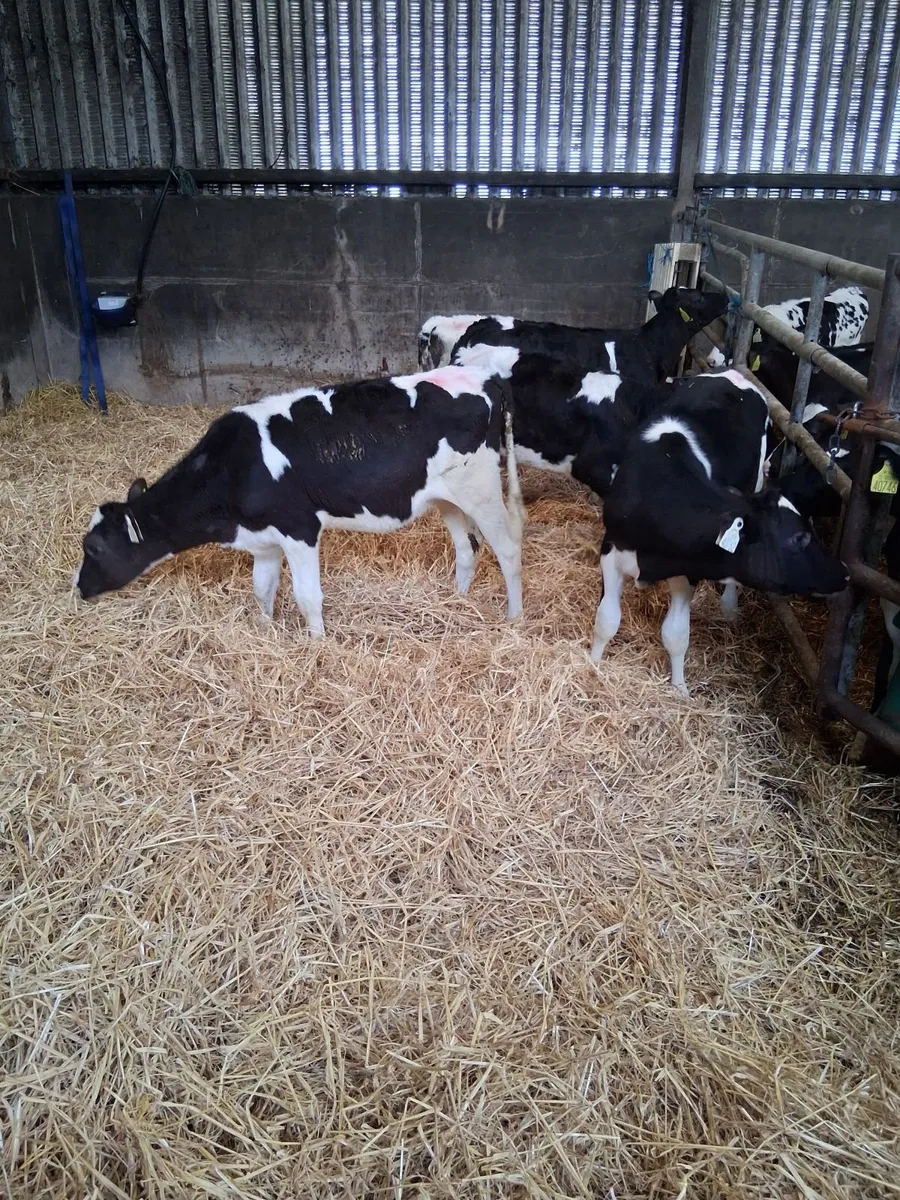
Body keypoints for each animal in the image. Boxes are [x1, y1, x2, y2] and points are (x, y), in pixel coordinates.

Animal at [74, 366, 526, 633]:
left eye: (94, 547)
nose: (79, 589)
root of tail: (483, 376)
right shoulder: (264, 541)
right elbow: (262, 590)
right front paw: (266, 632)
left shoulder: (299, 529)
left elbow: (309, 598)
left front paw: (318, 644)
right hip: (449, 498)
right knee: (467, 549)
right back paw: (456, 601)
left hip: (482, 489)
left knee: (507, 549)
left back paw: (513, 618)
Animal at [590, 370, 848, 696]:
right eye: (799, 537)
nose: (845, 572)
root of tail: (733, 373)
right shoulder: (611, 547)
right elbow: (606, 619)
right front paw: (592, 666)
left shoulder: (690, 569)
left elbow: (676, 635)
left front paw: (680, 689)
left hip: (756, 477)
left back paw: (729, 605)